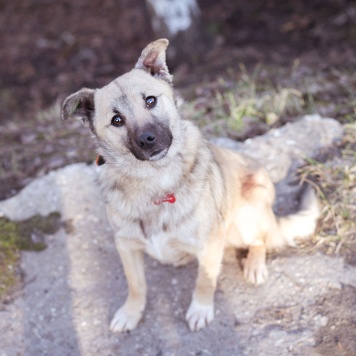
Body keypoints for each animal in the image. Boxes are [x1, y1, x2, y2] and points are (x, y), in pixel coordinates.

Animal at [62, 39, 320, 334]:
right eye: (117, 120)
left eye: (150, 100)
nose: (148, 139)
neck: (154, 182)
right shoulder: (126, 246)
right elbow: (136, 284)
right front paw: (131, 312)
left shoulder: (209, 243)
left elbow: (205, 279)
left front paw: (200, 308)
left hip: (246, 214)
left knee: (261, 239)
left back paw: (254, 264)